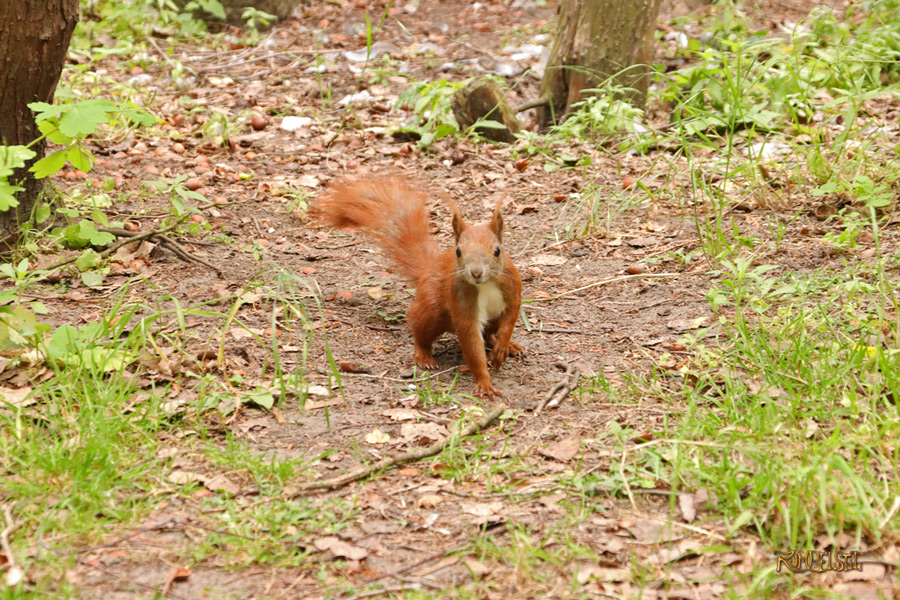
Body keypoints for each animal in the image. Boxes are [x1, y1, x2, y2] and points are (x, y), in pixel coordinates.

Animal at [316, 175, 523, 399]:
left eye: (497, 251)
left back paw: (509, 346)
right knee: (420, 330)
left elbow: (510, 319)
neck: (486, 284)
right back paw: (424, 356)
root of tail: (426, 271)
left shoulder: (513, 289)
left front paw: (503, 345)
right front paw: (484, 383)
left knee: (489, 333)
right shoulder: (461, 300)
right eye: (458, 251)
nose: (476, 272)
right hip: (432, 310)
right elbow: (472, 343)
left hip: (490, 318)